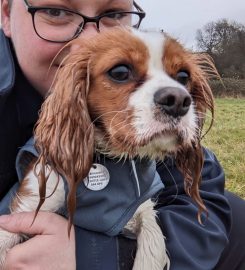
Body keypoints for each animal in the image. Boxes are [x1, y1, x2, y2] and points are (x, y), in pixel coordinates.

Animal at [0, 28, 215, 270]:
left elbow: (153, 242)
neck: (111, 157)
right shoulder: (28, 206)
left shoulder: (139, 208)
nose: (178, 100)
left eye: (184, 76)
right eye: (120, 71)